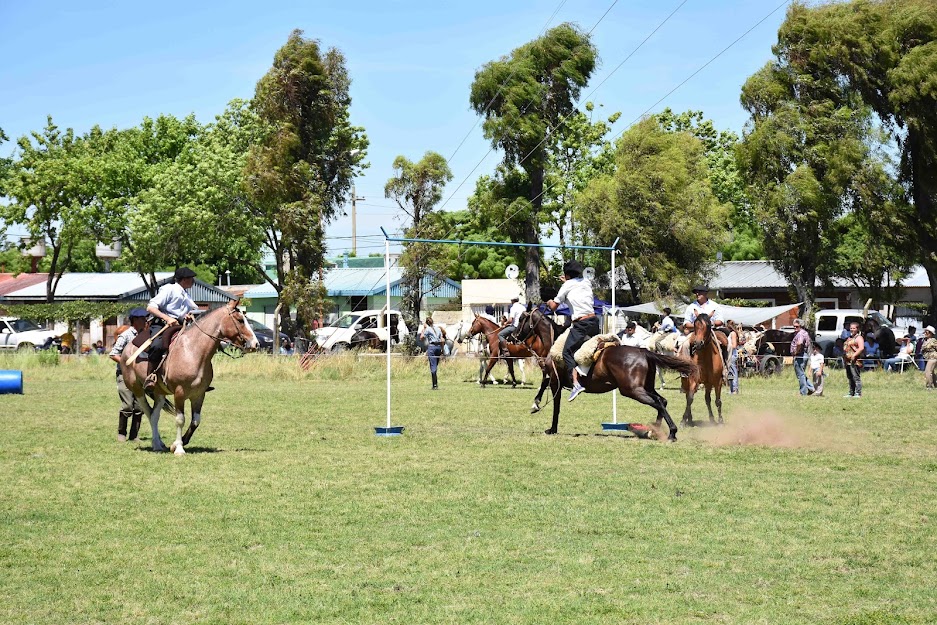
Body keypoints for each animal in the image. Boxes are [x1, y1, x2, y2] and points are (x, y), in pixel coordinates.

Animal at [121, 298, 260, 454]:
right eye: (240, 320)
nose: (255, 344)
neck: (193, 351)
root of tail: (128, 347)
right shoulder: (179, 393)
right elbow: (180, 419)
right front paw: (179, 448)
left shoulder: (199, 394)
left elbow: (195, 421)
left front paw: (179, 443)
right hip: (137, 389)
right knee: (147, 412)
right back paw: (156, 444)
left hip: (159, 393)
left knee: (154, 415)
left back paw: (159, 444)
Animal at [512, 308, 696, 438]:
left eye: (521, 319)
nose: (512, 337)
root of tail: (644, 352)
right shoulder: (554, 379)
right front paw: (537, 405)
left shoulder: (555, 381)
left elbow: (554, 404)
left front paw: (548, 423)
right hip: (645, 387)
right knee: (662, 401)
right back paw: (655, 430)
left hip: (632, 390)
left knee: (658, 403)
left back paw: (671, 432)